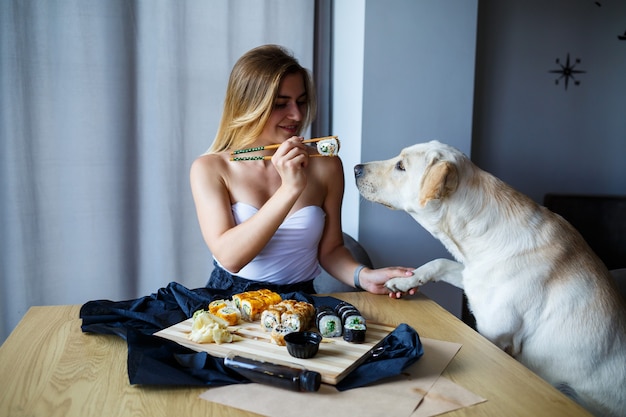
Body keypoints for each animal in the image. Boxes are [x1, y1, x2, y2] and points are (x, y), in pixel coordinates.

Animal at [354, 140, 620, 416]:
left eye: (401, 166)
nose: (355, 168)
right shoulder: (472, 275)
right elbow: (439, 262)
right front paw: (405, 280)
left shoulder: (494, 333)